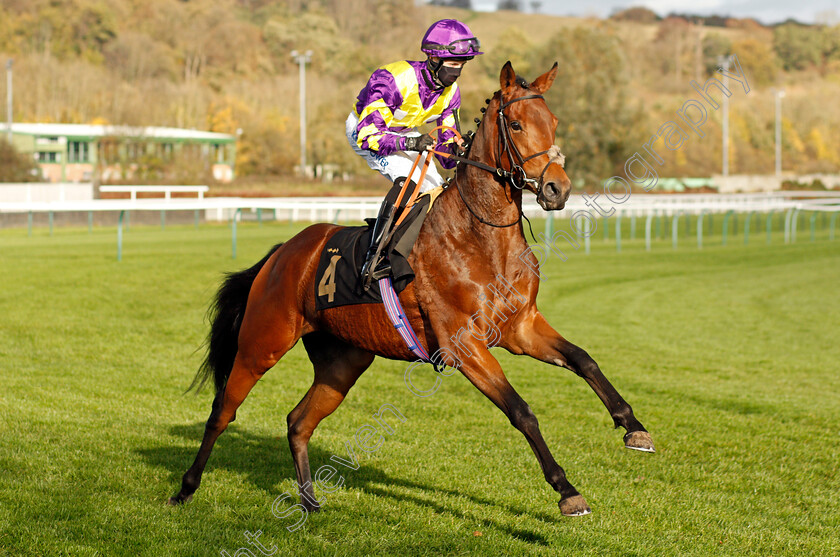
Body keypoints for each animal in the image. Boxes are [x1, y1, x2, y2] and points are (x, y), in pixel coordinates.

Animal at [169, 62, 656, 516]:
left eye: (553, 121)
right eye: (516, 125)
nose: (558, 189)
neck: (478, 238)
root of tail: (281, 253)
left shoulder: (521, 327)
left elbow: (584, 360)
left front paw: (634, 427)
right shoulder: (464, 345)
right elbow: (522, 411)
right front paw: (566, 490)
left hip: (342, 362)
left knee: (298, 421)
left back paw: (308, 501)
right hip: (262, 343)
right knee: (221, 413)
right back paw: (185, 488)